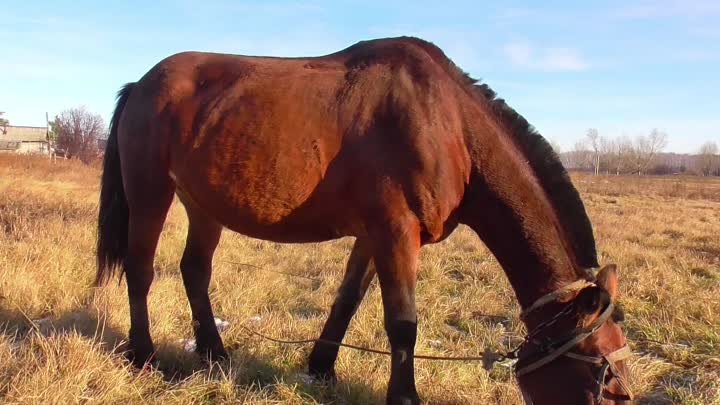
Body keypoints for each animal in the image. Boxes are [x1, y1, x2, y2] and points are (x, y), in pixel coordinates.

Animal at [95, 36, 632, 402]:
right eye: (599, 371)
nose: (622, 391)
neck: (448, 126)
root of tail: (141, 85)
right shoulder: (395, 233)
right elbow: (402, 322)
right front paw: (405, 395)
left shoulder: (373, 236)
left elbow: (347, 301)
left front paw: (321, 368)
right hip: (151, 193)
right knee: (141, 270)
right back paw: (143, 355)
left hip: (204, 206)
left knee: (195, 270)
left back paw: (213, 351)